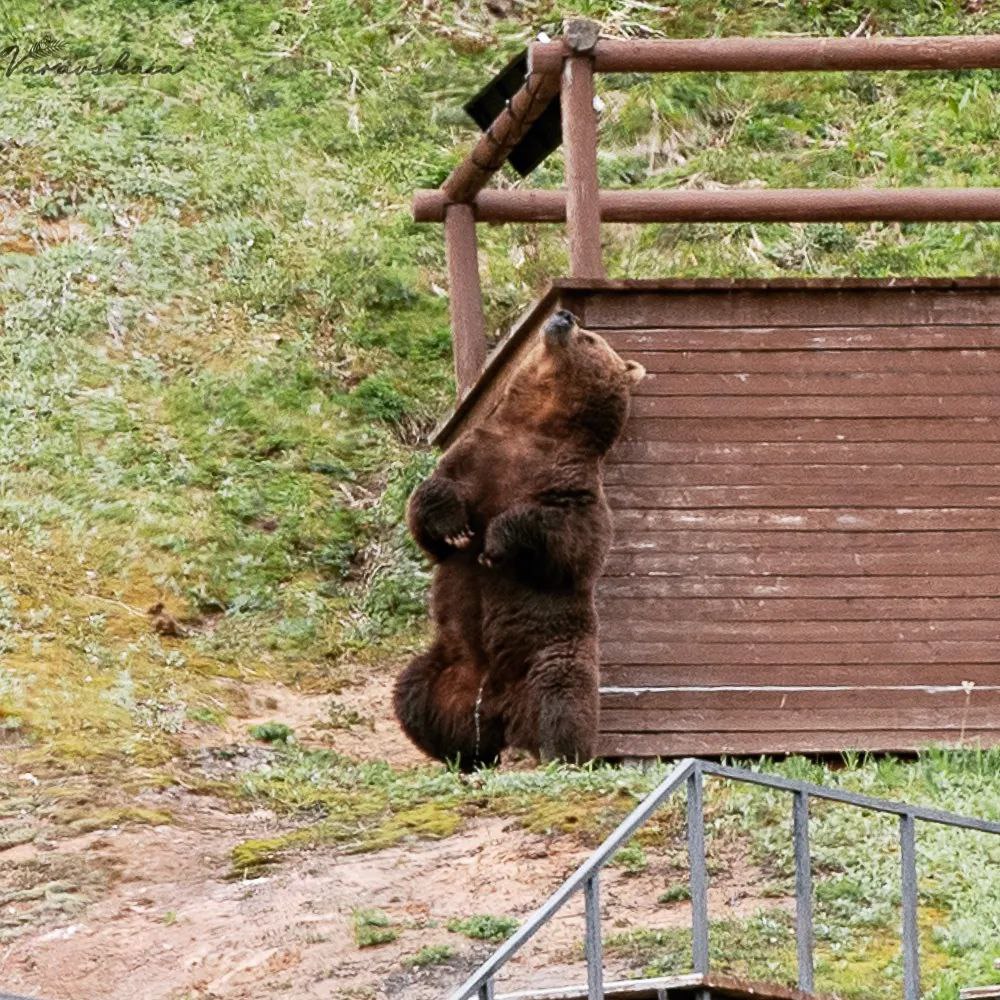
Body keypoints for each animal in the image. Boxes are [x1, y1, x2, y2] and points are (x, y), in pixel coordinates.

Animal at [394, 308, 644, 768]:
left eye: (591, 338)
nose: (563, 316)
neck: (537, 426)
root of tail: (494, 706)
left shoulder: (572, 484)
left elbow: (568, 542)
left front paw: (495, 543)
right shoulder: (474, 456)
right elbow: (426, 507)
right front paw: (456, 530)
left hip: (549, 652)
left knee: (562, 699)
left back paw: (548, 754)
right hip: (446, 665)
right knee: (412, 693)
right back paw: (456, 754)